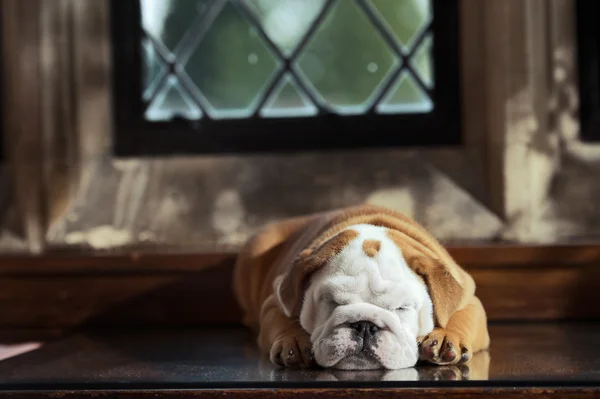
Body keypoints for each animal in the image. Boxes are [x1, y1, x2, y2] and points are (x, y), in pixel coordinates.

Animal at [232, 206, 490, 372]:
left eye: (402, 308)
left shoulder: (469, 297)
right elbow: (283, 320)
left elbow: (459, 316)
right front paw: (293, 341)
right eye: (332, 303)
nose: (365, 325)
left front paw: (446, 337)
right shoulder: (276, 300)